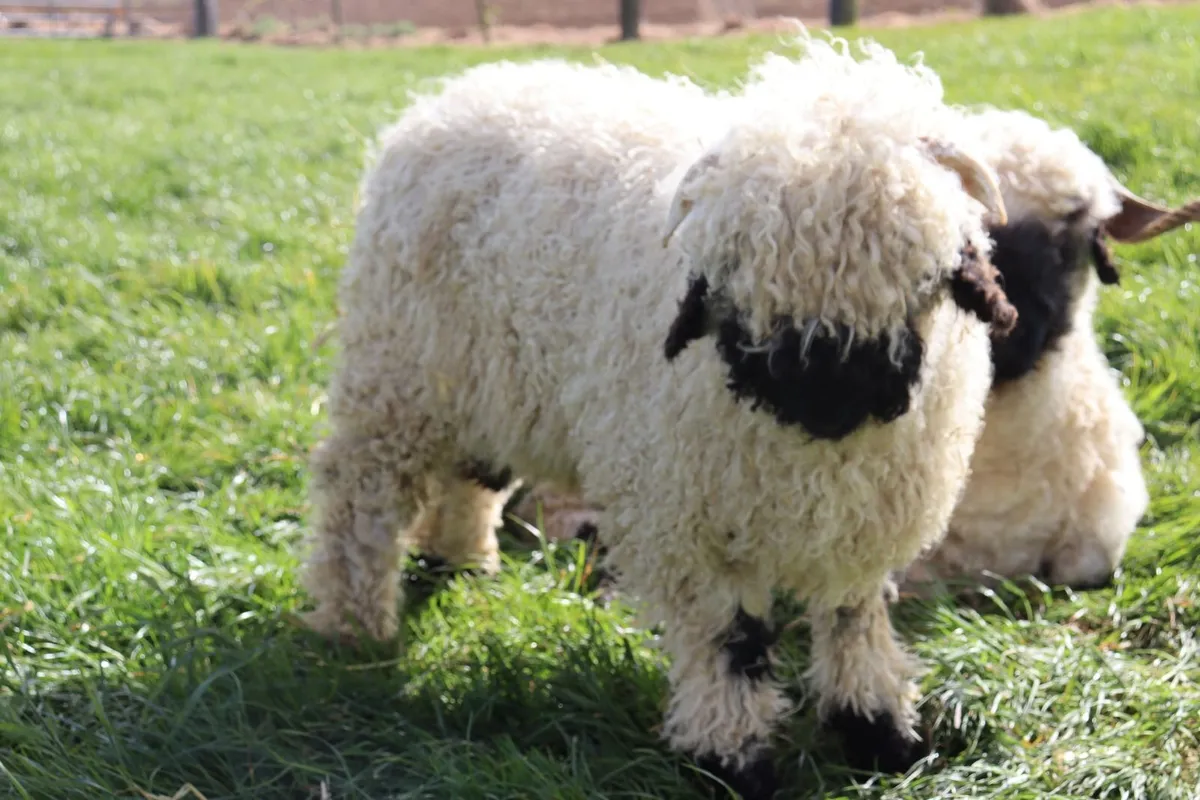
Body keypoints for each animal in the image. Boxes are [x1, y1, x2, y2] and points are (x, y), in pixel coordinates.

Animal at [299, 35, 1018, 797]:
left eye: (923, 276)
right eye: (740, 272)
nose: (825, 392)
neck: (814, 453)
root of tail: (449, 97)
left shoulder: (862, 526)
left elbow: (853, 620)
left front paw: (879, 731)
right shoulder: (687, 526)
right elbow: (730, 642)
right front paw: (733, 759)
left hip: (483, 380)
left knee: (471, 471)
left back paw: (462, 559)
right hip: (397, 374)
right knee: (359, 497)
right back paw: (352, 625)